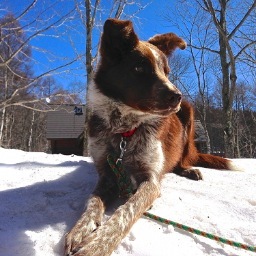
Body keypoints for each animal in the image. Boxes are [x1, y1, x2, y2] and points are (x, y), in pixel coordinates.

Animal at [64, 19, 236, 256]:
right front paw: (80, 229)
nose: (177, 96)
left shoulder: (150, 180)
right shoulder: (107, 174)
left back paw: (189, 170)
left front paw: (97, 244)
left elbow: (127, 210)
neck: (125, 130)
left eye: (166, 71)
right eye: (138, 68)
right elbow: (93, 202)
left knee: (183, 160)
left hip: (189, 115)